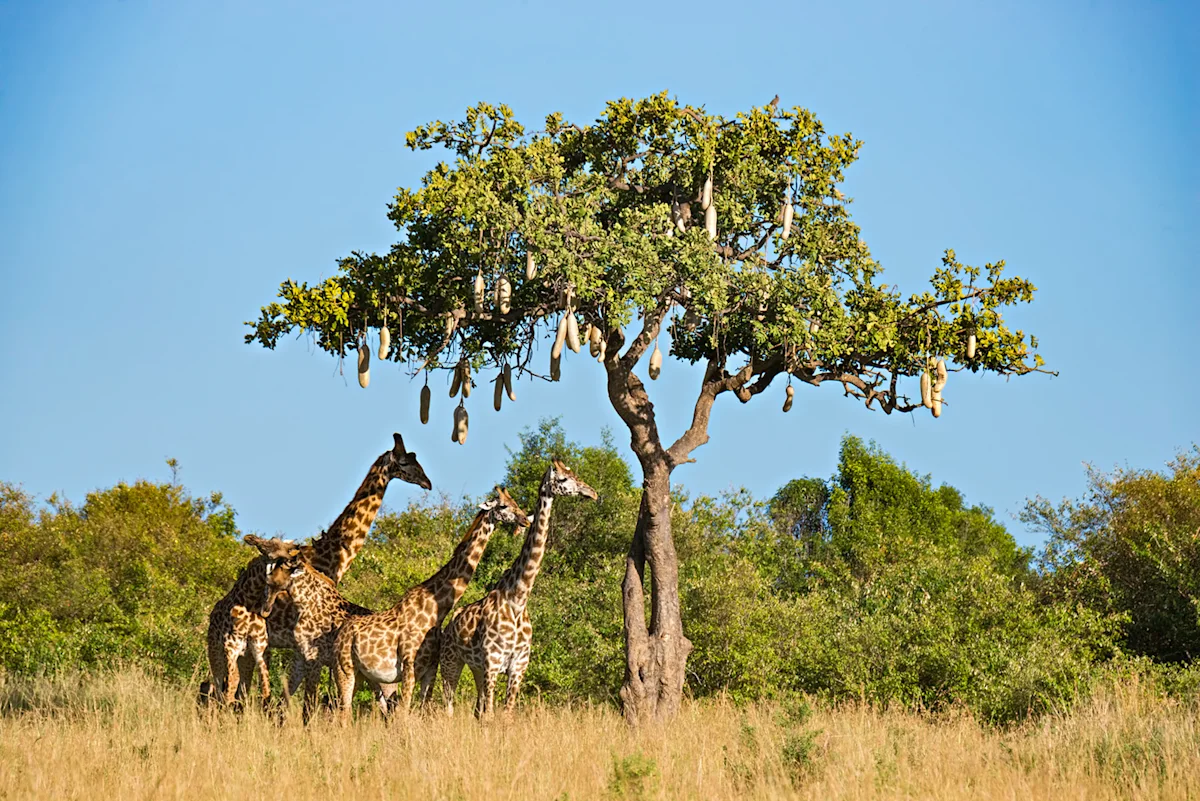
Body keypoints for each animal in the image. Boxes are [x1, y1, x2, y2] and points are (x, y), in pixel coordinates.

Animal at [200, 535, 297, 711]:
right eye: (267, 550)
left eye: (286, 549)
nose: (291, 560)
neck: (250, 603)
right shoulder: (230, 647)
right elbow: (231, 685)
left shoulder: (259, 650)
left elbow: (265, 687)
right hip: (215, 652)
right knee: (218, 685)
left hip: (245, 659)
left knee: (239, 688)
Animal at [330, 487, 530, 722]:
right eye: (503, 505)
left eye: (515, 501)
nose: (524, 520)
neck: (437, 611)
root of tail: (339, 635)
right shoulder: (409, 667)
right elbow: (404, 712)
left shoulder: (430, 669)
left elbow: (424, 709)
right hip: (344, 669)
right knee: (344, 713)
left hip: (364, 675)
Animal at [440, 459, 598, 716]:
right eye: (563, 479)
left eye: (573, 473)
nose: (592, 493)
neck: (518, 598)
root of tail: (451, 622)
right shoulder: (493, 663)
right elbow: (491, 716)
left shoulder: (518, 666)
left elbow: (506, 714)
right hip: (451, 661)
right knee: (449, 705)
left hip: (476, 668)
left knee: (476, 709)